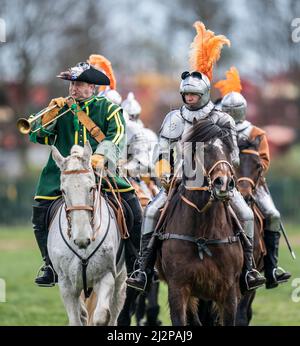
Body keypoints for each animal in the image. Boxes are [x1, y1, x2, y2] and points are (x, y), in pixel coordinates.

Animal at [48, 142, 126, 326]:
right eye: (63, 191)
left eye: (91, 188)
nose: (82, 239)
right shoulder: (67, 285)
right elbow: (77, 319)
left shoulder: (106, 277)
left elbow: (101, 316)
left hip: (120, 280)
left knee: (114, 309)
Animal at [157, 117, 244, 326]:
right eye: (204, 149)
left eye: (228, 148)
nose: (224, 183)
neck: (203, 234)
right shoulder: (178, 289)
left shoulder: (229, 292)